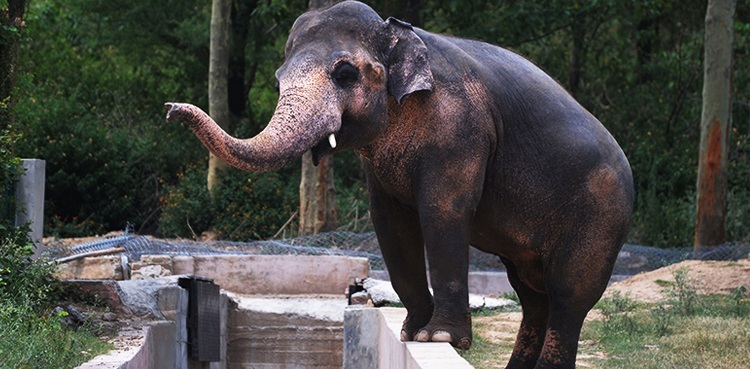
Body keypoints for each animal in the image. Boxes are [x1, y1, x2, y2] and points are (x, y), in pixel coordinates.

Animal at [164, 1, 636, 366]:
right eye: (279, 79)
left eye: (345, 74)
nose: (171, 108)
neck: (397, 33)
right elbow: (389, 221)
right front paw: (412, 333)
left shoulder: (460, 128)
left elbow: (443, 211)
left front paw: (439, 338)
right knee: (532, 295)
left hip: (601, 214)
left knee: (568, 295)